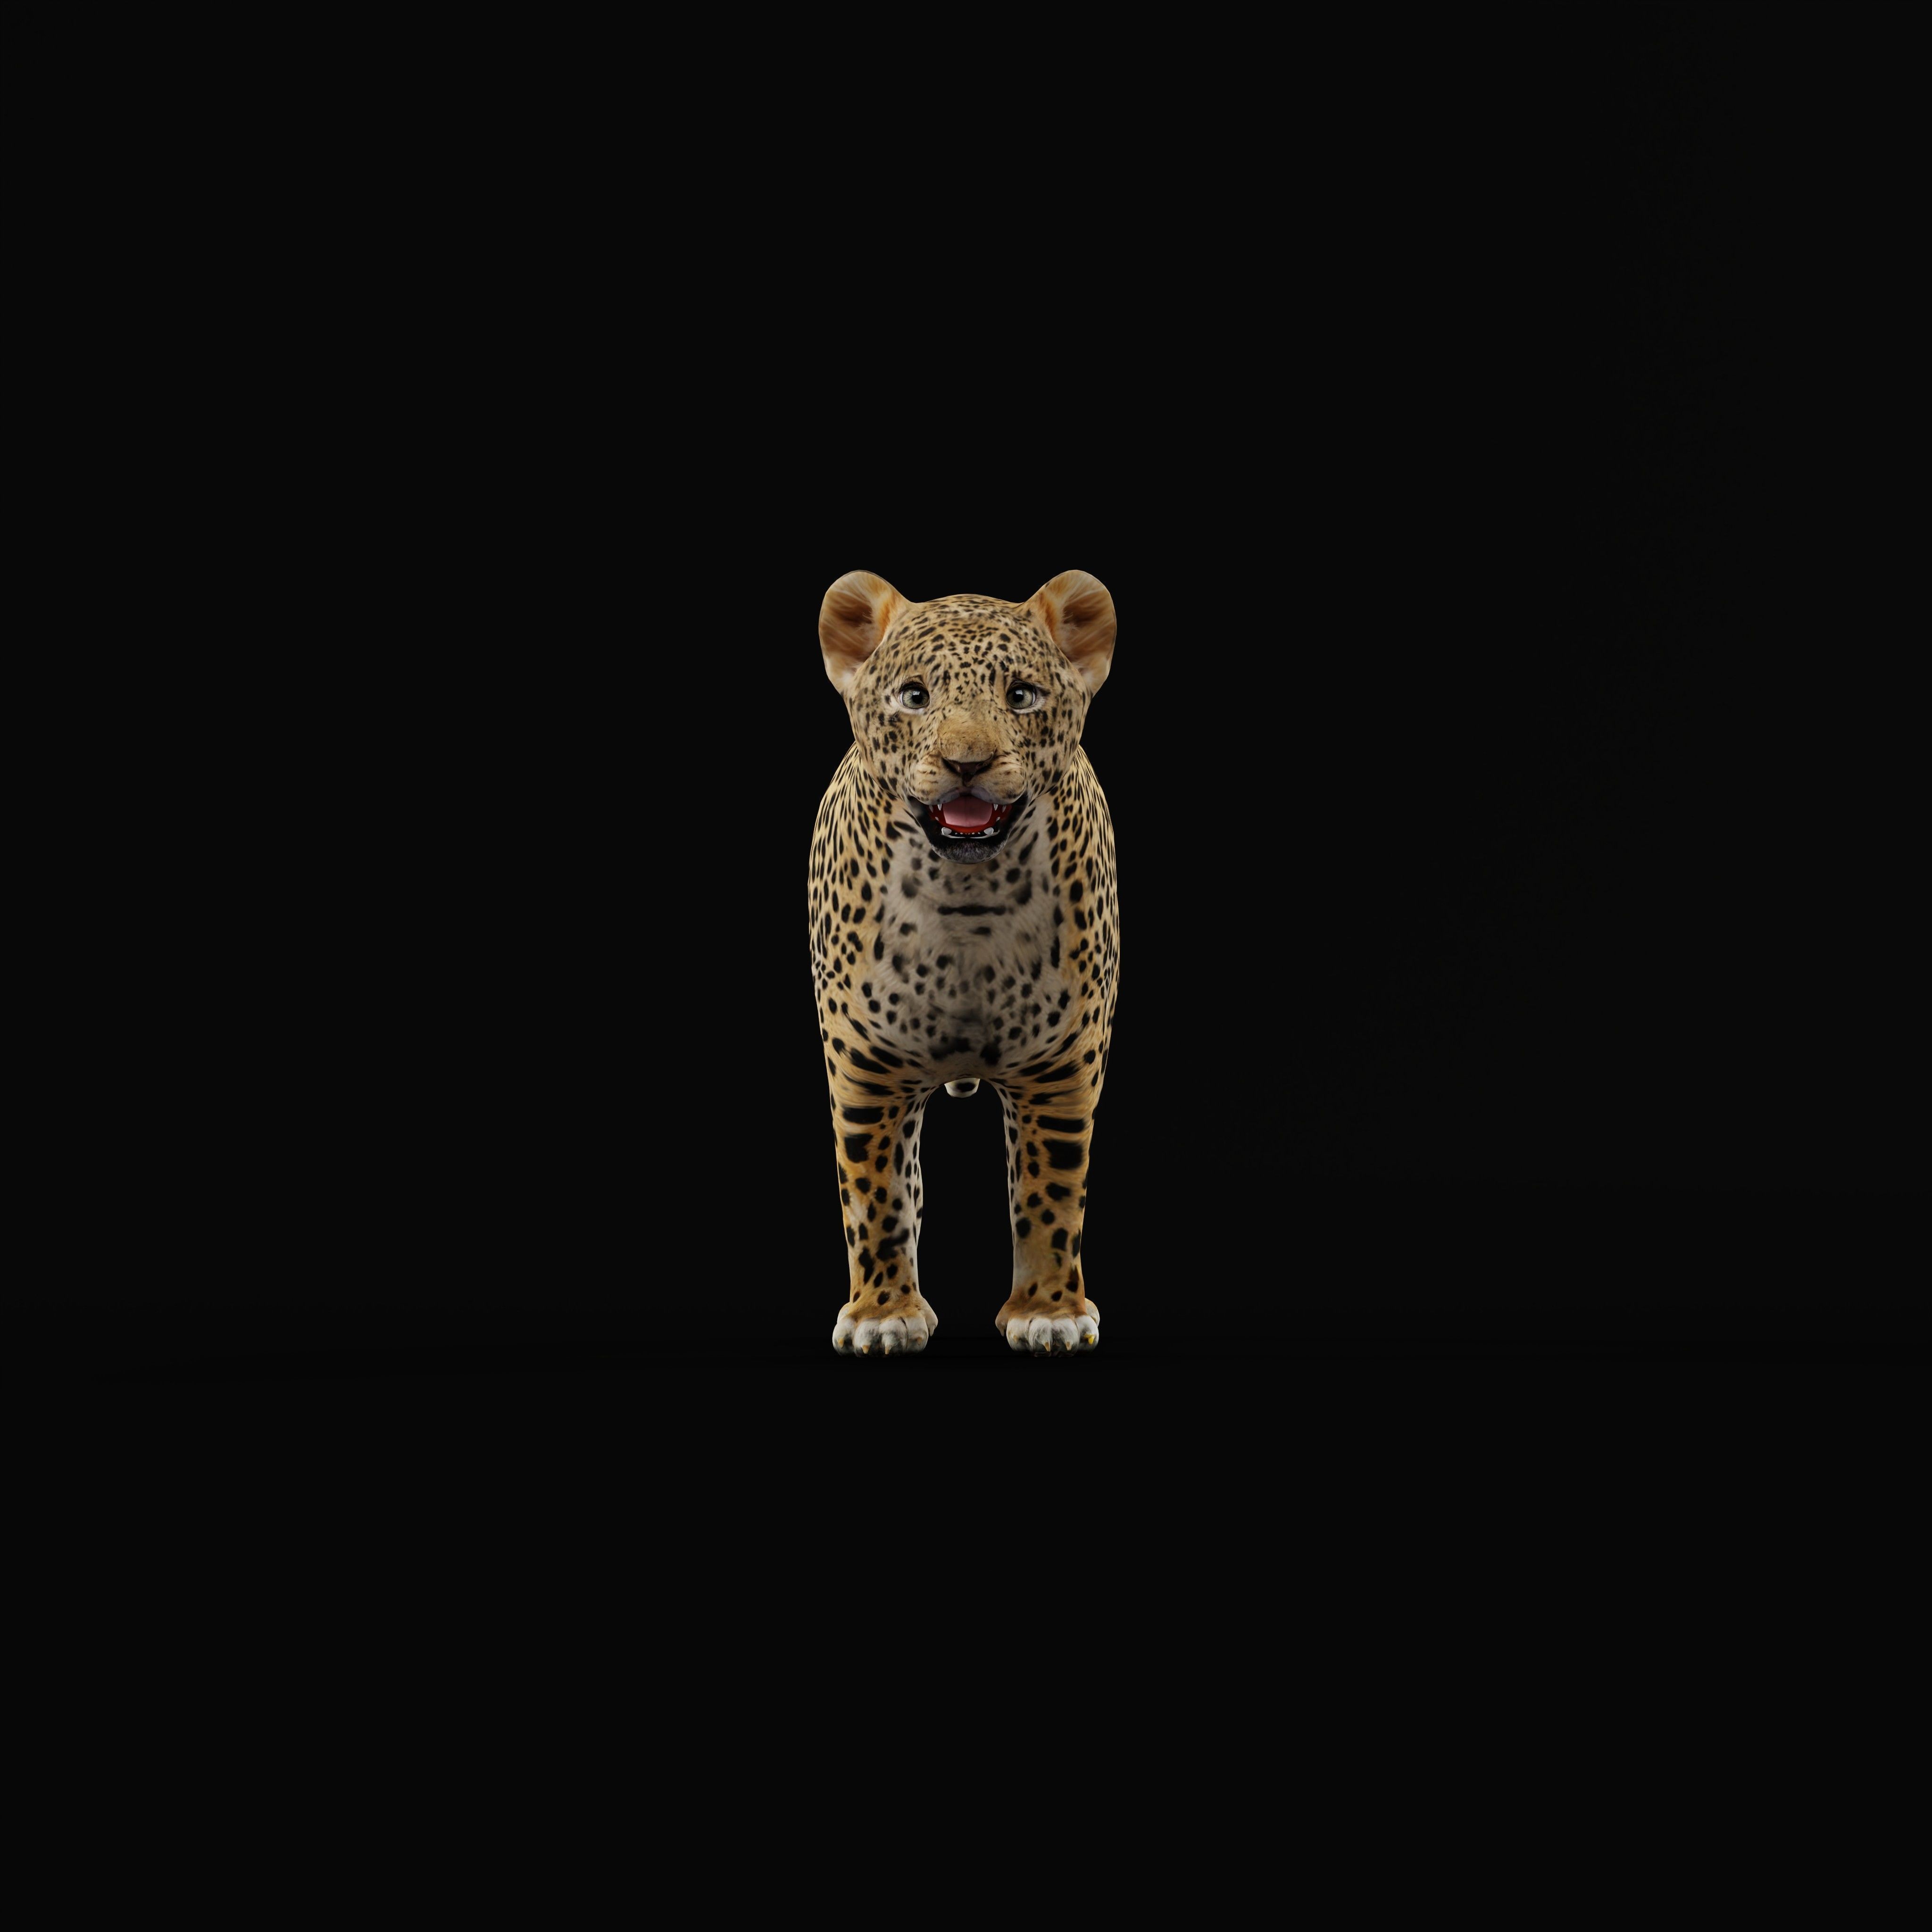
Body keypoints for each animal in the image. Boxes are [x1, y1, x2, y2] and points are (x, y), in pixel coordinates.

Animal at [809, 569, 1121, 1358]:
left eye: (1022, 696)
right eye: (915, 696)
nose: (967, 764)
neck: (966, 904)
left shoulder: (1062, 1063)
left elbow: (1051, 1193)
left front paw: (1049, 1311)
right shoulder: (866, 1064)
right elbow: (878, 1195)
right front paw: (882, 1314)